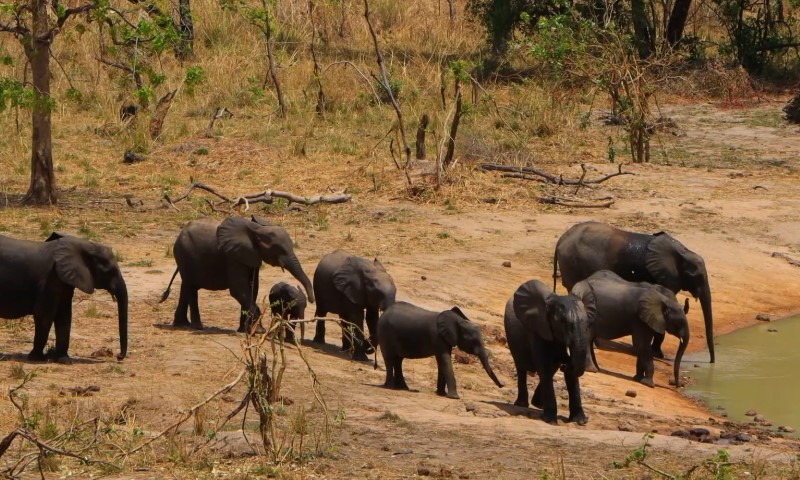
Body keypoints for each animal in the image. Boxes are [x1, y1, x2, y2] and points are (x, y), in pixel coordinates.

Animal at [0, 232, 128, 362]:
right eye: (110, 271)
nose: (118, 356)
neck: (85, 245)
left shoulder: (64, 279)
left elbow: (64, 315)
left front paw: (64, 360)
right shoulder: (50, 280)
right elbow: (45, 315)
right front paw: (37, 358)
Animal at [160, 215, 314, 332]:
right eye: (277, 248)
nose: (312, 300)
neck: (257, 229)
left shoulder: (251, 256)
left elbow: (253, 289)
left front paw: (244, 330)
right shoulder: (233, 256)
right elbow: (239, 290)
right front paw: (259, 331)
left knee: (186, 286)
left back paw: (182, 325)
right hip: (184, 254)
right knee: (191, 287)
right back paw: (197, 327)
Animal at [504, 279, 589, 425]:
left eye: (587, 322)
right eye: (562, 322)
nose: (565, 365)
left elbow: (571, 376)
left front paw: (580, 422)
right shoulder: (539, 330)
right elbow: (544, 366)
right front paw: (550, 421)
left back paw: (538, 404)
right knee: (522, 368)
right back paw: (522, 404)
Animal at [553, 221, 714, 363]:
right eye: (696, 276)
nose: (711, 362)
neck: (684, 252)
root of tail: (561, 239)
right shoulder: (663, 277)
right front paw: (657, 354)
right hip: (571, 263)